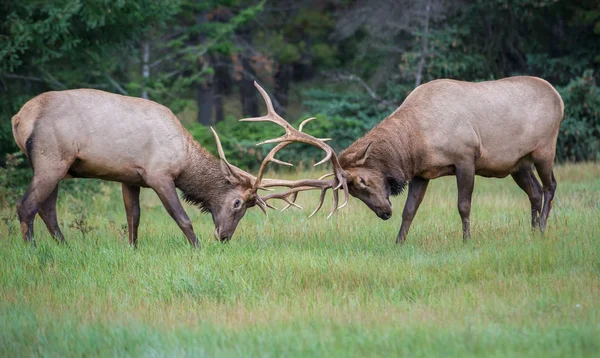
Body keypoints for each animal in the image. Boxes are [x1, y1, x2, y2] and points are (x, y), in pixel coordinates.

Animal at [11, 84, 344, 246]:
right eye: (238, 203)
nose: (224, 237)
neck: (183, 157)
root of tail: (19, 118)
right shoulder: (159, 174)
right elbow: (182, 217)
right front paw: (197, 248)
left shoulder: (128, 177)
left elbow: (133, 218)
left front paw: (132, 250)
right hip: (50, 158)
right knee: (26, 206)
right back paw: (34, 252)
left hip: (59, 166)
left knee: (47, 209)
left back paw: (64, 247)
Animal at [274, 76, 564, 243]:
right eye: (353, 192)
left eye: (363, 181)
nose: (383, 212)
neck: (417, 141)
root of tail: (559, 97)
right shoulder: (421, 173)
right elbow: (409, 210)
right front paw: (398, 243)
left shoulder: (465, 158)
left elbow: (463, 206)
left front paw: (467, 240)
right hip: (518, 162)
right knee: (535, 192)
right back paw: (531, 232)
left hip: (545, 149)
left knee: (550, 186)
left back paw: (542, 229)